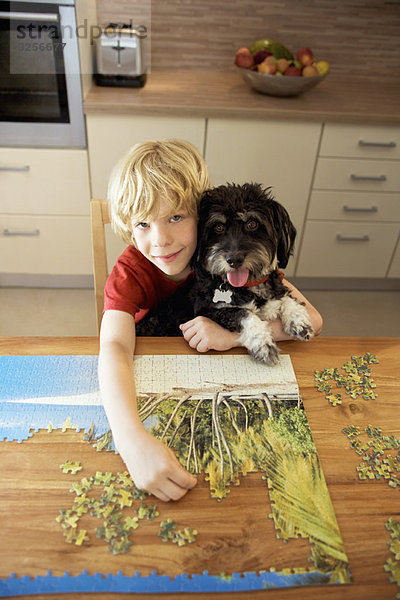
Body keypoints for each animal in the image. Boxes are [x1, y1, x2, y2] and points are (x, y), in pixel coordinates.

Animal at [136, 180, 314, 364]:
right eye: (219, 227)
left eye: (252, 224)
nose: (234, 260)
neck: (249, 286)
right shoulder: (207, 311)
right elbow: (244, 313)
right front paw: (263, 343)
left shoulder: (275, 289)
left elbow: (286, 297)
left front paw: (298, 320)